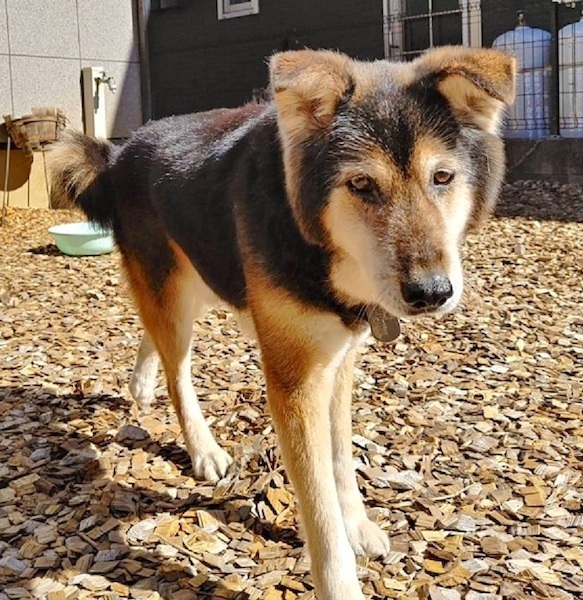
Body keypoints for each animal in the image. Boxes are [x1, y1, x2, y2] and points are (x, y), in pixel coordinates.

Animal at [50, 46, 515, 600]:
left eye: (442, 177)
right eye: (361, 184)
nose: (431, 293)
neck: (319, 245)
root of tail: (118, 155)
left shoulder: (338, 361)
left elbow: (340, 459)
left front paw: (358, 525)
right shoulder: (296, 382)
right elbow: (318, 506)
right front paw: (341, 582)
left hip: (203, 276)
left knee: (157, 335)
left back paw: (141, 384)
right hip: (174, 288)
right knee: (177, 370)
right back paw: (203, 448)